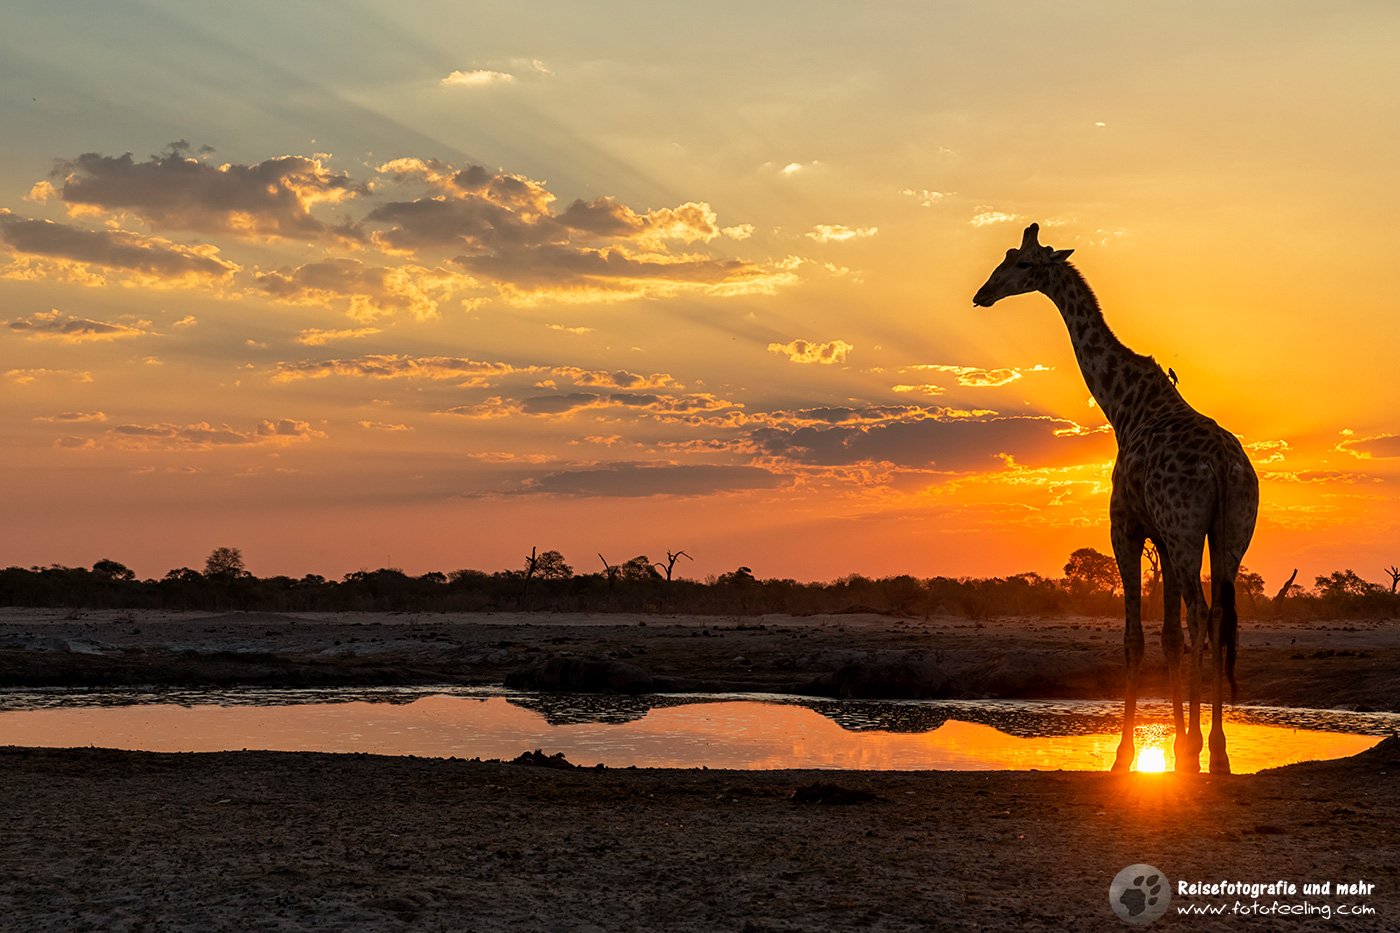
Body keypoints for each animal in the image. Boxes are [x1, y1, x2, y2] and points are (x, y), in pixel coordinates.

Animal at [973, 224, 1258, 774]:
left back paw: (1198, 746)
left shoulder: (1126, 527)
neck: (1124, 407)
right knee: (1217, 616)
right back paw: (1217, 749)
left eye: (1021, 263)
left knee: (1200, 612)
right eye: (1006, 256)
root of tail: (1222, 465)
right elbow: (1167, 637)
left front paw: (1129, 754)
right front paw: (1172, 745)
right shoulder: (1163, 538)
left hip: (1189, 531)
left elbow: (1134, 639)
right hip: (1232, 533)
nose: (982, 294)